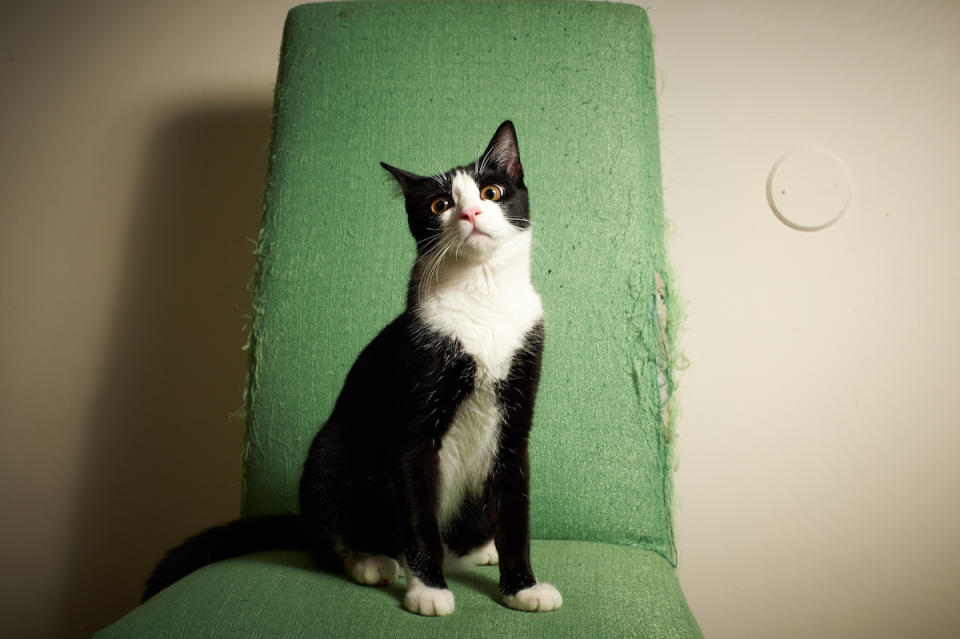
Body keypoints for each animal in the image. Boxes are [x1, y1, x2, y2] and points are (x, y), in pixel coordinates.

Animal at [145, 122, 560, 616]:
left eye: (491, 191)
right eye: (440, 205)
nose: (471, 212)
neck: (484, 298)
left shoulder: (517, 409)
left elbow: (514, 506)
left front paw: (522, 587)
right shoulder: (411, 421)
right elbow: (417, 514)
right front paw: (429, 590)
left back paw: (478, 549)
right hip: (334, 451)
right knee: (329, 533)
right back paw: (368, 560)